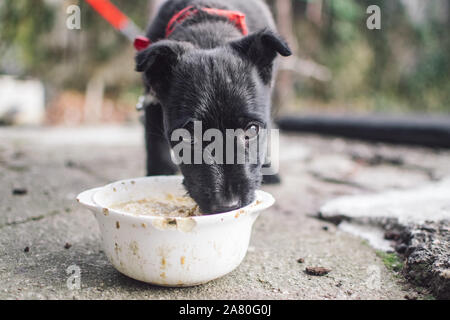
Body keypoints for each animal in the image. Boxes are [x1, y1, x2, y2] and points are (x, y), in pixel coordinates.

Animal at [135, 0, 290, 215]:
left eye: (252, 130)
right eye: (187, 136)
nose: (228, 206)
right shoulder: (152, 102)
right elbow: (156, 149)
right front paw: (157, 175)